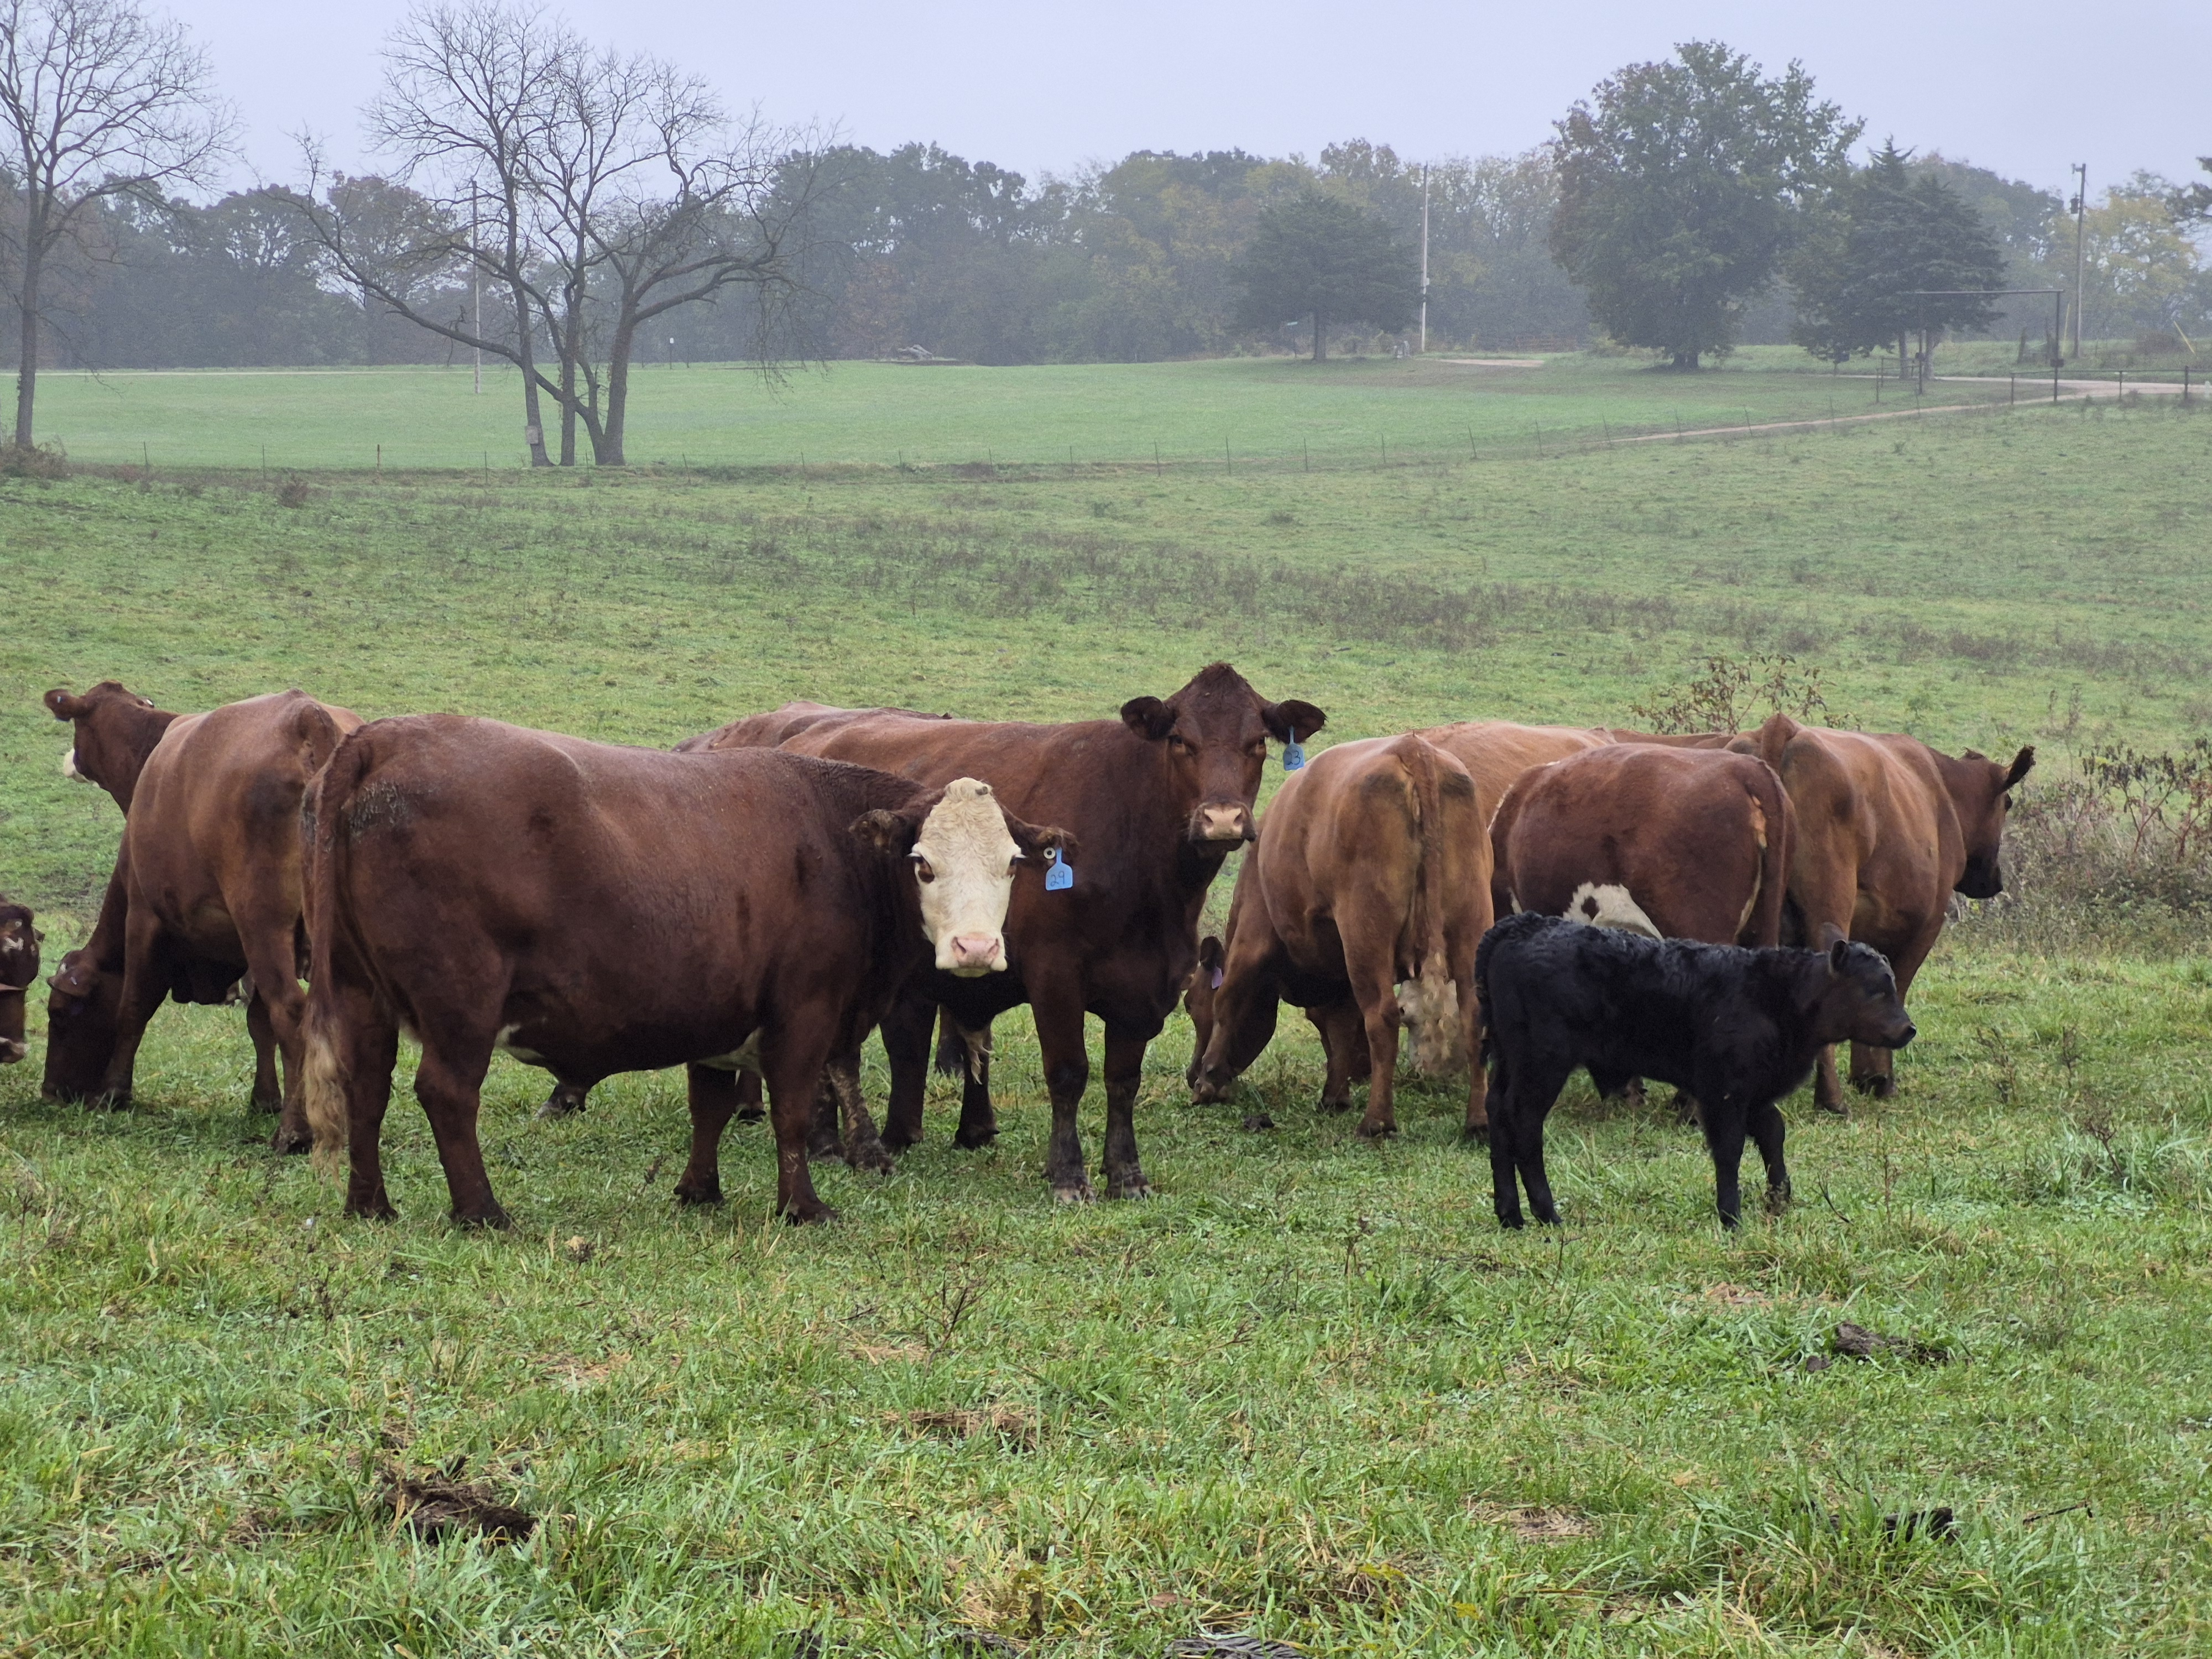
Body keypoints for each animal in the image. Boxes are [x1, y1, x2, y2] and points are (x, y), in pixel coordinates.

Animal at [298, 715, 1071, 1226]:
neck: (833, 842)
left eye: (1010, 863)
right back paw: (483, 1211)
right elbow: (792, 1112)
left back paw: (370, 1205)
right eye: (922, 864)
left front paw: (700, 1190)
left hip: (362, 996)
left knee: (366, 1090)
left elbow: (712, 1104)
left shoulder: (718, 1013)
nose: (975, 948)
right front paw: (803, 1207)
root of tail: (386, 736)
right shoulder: (804, 1015)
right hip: (461, 1003)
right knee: (447, 1095)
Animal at [697, 663, 1326, 1201]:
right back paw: (832, 1145)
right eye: (1180, 741)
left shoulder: (1146, 985)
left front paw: (1126, 1174)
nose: (1222, 820)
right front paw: (1069, 1175)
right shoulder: (1055, 974)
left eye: (1257, 743)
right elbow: (1069, 1072)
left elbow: (1122, 1080)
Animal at [1186, 734, 1488, 1139]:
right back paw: (1478, 1120)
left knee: (1382, 1017)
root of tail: (1412, 748)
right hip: (1470, 924)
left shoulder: (1254, 934)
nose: (1191, 1075)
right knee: (1473, 1015)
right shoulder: (1340, 970)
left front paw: (1211, 1080)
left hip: (1365, 929)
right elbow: (1340, 1024)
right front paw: (1336, 1094)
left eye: (1190, 1004)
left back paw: (1377, 1122)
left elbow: (1229, 1000)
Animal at [1476, 912, 1916, 1229]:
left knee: (1497, 1114)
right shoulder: (1724, 1091)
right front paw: (1731, 1217)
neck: (1778, 996)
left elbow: (1773, 1134)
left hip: (1508, 1061)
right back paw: (1547, 1214)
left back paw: (1510, 1215)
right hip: (1542, 1064)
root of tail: (1522, 925)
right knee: (1524, 1123)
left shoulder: (1756, 1091)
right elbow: (1730, 1149)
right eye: (1875, 989)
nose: (1909, 1029)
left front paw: (1779, 1200)